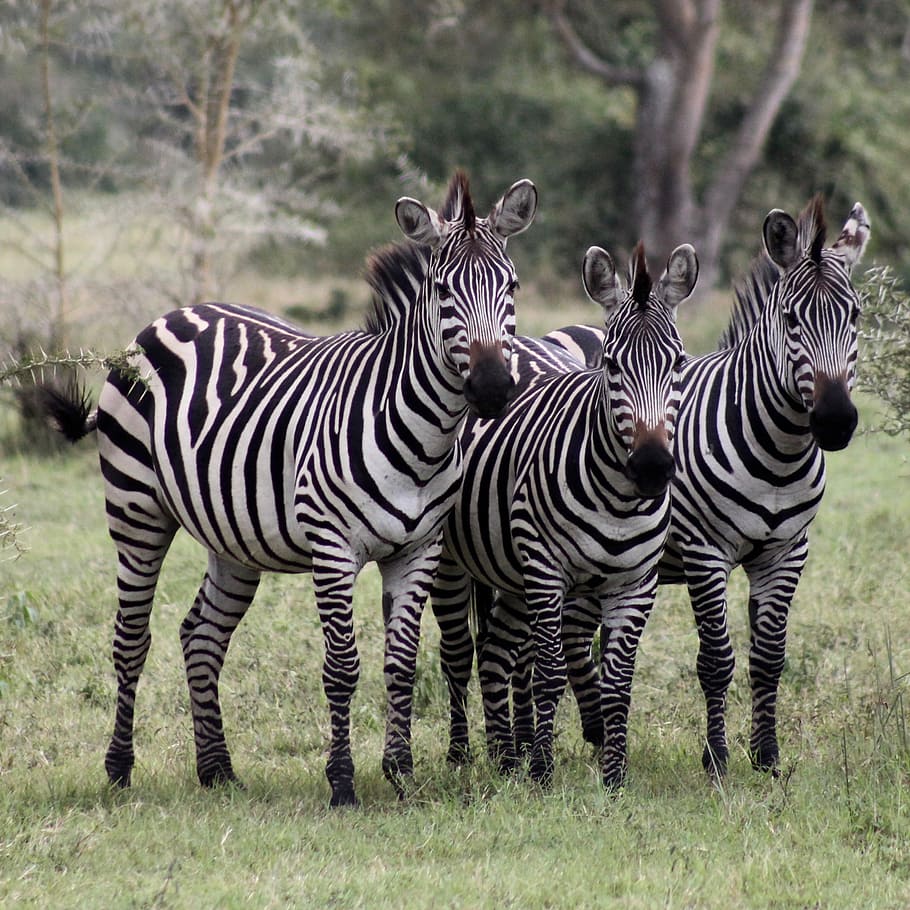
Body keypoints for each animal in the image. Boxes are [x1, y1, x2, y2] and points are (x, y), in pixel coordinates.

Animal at [41, 171, 538, 807]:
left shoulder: (419, 549)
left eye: (512, 286)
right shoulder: (333, 547)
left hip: (230, 535)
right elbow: (343, 667)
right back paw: (120, 768)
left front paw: (401, 773)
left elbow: (401, 663)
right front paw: (343, 782)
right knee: (132, 638)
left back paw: (217, 769)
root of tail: (174, 314)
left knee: (201, 636)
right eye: (442, 291)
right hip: (137, 511)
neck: (421, 436)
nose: (495, 388)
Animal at [429, 240, 698, 788]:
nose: (652, 466)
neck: (619, 501)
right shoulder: (547, 570)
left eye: (678, 362)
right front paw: (542, 772)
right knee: (458, 655)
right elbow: (551, 674)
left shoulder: (636, 583)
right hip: (457, 563)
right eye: (612, 365)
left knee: (495, 655)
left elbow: (618, 681)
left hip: (512, 575)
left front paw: (614, 777)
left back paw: (504, 759)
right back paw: (466, 755)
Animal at [535, 196, 871, 779]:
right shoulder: (703, 550)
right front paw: (716, 758)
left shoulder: (787, 551)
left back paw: (599, 735)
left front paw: (767, 756)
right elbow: (716, 659)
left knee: (577, 634)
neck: (779, 452)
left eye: (853, 317)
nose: (834, 421)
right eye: (790, 319)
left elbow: (769, 656)